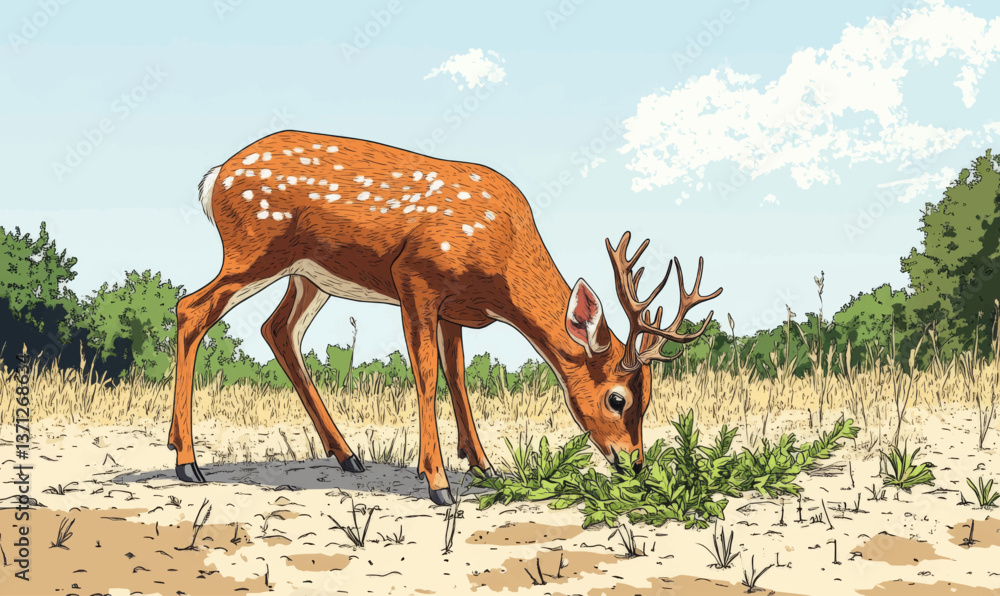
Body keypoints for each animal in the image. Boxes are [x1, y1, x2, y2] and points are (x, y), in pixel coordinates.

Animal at [170, 130, 722, 505]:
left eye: (647, 399)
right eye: (617, 398)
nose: (634, 464)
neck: (501, 266)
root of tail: (213, 178)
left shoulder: (454, 308)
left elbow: (457, 375)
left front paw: (483, 466)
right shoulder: (416, 276)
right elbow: (427, 373)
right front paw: (436, 483)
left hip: (308, 275)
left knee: (278, 329)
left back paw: (346, 456)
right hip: (256, 249)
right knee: (191, 309)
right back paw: (187, 463)